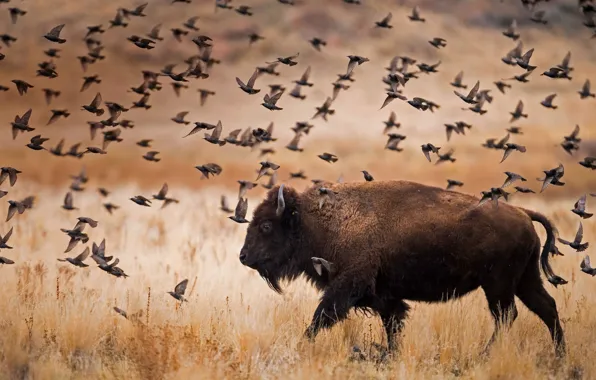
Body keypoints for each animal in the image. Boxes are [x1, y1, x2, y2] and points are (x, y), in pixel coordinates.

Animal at [239, 180, 568, 354]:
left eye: (266, 225)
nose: (243, 256)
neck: (316, 222)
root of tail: (522, 212)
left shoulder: (347, 285)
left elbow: (321, 316)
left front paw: (302, 345)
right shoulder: (385, 296)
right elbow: (393, 323)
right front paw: (390, 354)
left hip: (498, 285)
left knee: (507, 315)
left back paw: (485, 355)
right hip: (524, 280)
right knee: (546, 307)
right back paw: (559, 356)